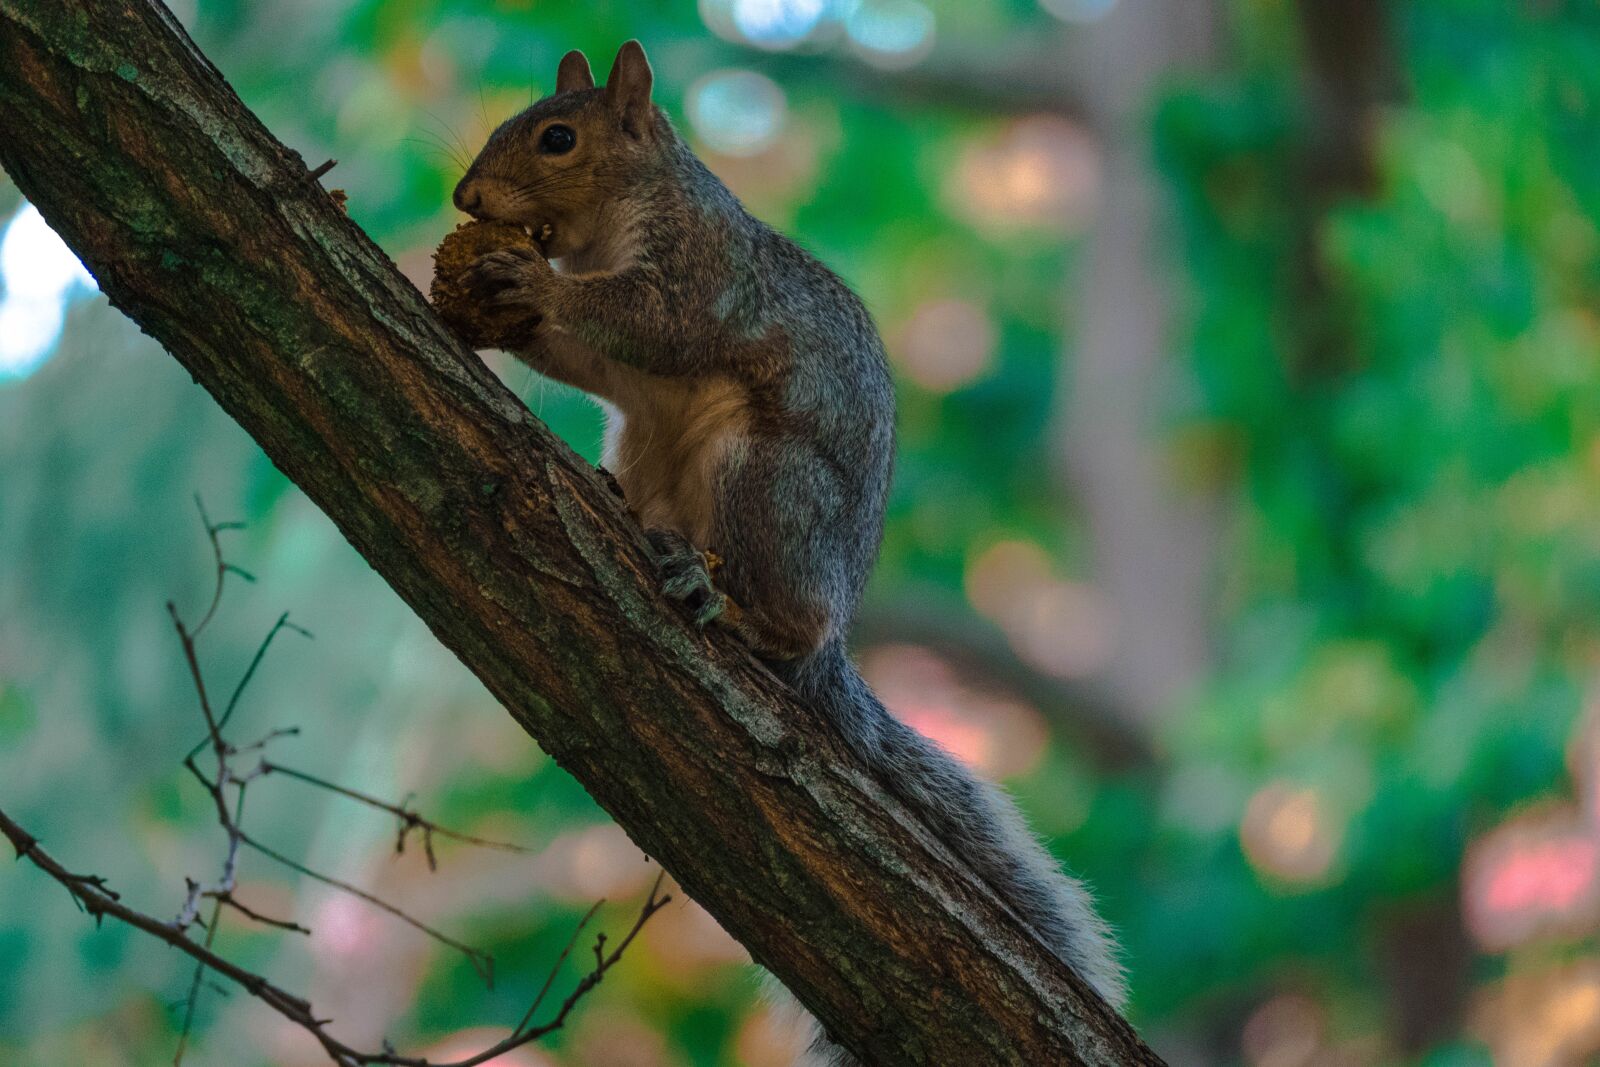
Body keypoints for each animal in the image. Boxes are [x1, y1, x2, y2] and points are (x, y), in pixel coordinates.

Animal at [452, 40, 1125, 1064]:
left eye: (558, 137)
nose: (465, 198)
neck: (607, 228)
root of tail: (833, 632)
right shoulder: (619, 356)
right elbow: (594, 360)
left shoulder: (703, 273)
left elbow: (653, 325)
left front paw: (533, 287)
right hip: (652, 452)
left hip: (762, 481)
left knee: (781, 613)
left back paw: (720, 599)